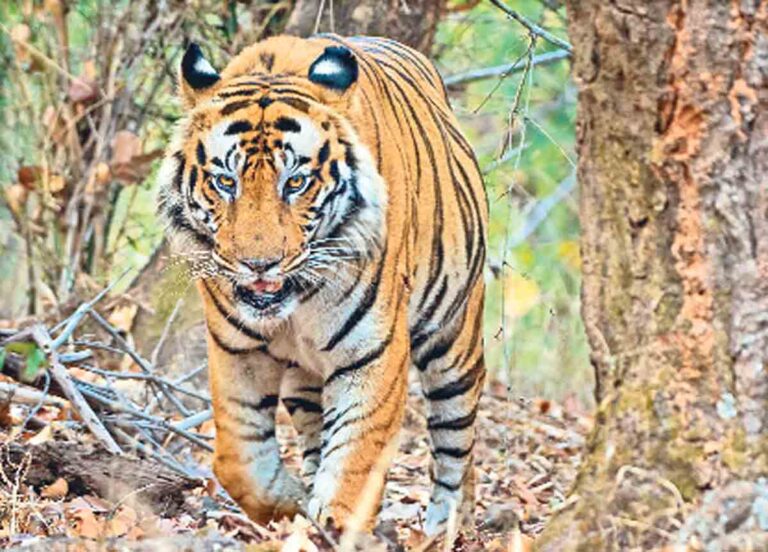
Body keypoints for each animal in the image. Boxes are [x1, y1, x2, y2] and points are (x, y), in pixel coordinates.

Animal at [157, 34, 487, 534]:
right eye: (225, 182)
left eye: (295, 182)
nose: (259, 264)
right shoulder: (236, 347)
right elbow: (238, 458)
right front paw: (290, 503)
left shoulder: (373, 350)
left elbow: (356, 458)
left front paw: (332, 523)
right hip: (304, 380)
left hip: (454, 342)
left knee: (456, 447)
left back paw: (444, 528)